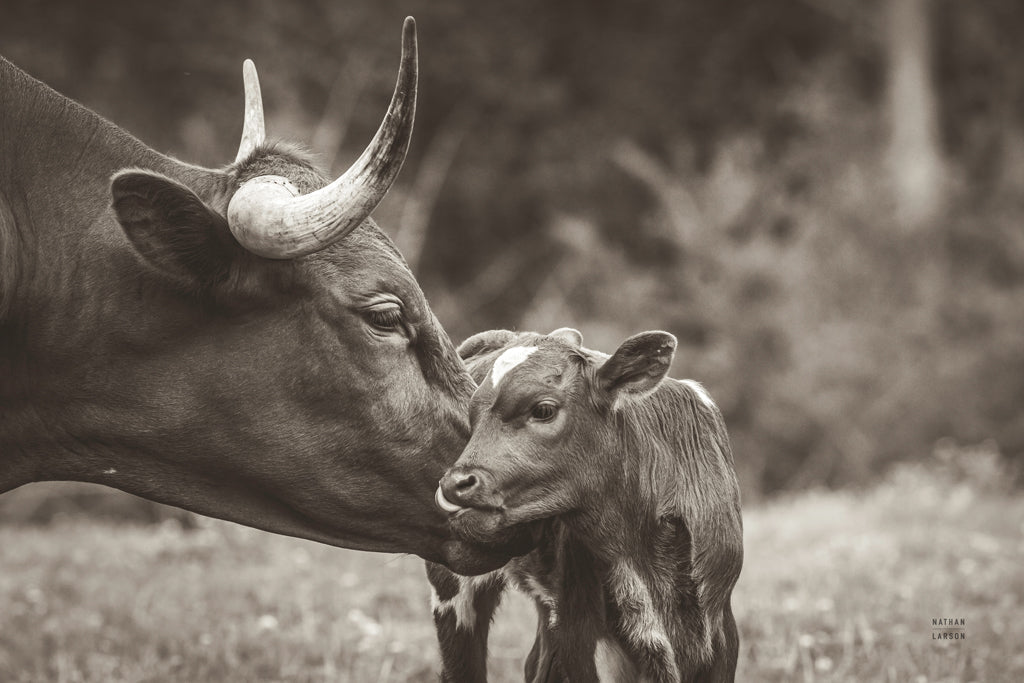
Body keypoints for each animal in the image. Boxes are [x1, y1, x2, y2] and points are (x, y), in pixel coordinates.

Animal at [428, 327, 741, 679]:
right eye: (472, 416)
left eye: (543, 409)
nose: (454, 484)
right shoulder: (582, 632)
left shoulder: (720, 628)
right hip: (452, 586)